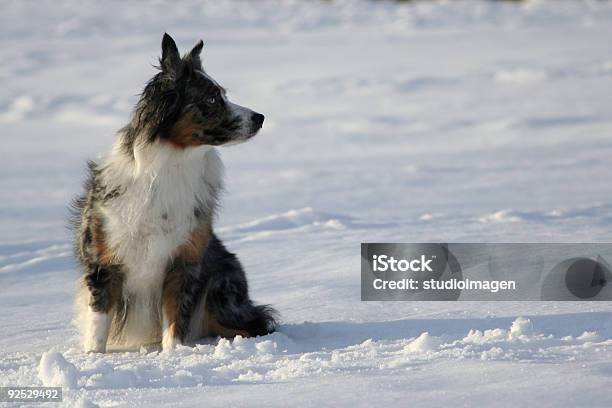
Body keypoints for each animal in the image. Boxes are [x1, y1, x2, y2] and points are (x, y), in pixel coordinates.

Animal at [71, 33, 278, 352]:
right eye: (212, 98)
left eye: (223, 93)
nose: (260, 117)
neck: (171, 166)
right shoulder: (103, 263)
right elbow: (98, 326)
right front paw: (92, 358)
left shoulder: (184, 260)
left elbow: (174, 320)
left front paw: (173, 356)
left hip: (221, 288)